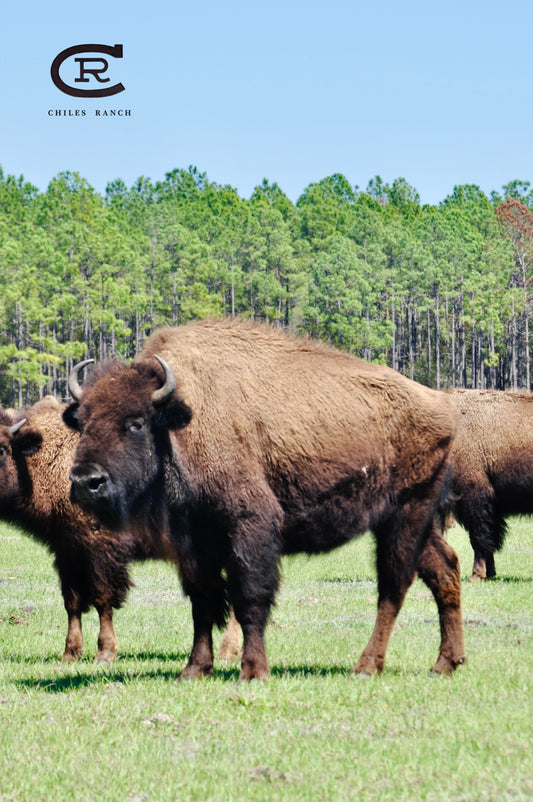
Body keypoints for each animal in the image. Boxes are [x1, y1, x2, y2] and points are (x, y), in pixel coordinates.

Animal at [66, 319, 465, 680]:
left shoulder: (250, 527)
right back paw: (446, 663)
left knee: (393, 585)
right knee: (444, 568)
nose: (87, 481)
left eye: (135, 422)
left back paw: (366, 667)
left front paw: (253, 670)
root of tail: (443, 406)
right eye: (82, 422)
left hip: (405, 513)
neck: (181, 423)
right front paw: (194, 670)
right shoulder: (194, 544)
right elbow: (202, 602)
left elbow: (250, 598)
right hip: (414, 520)